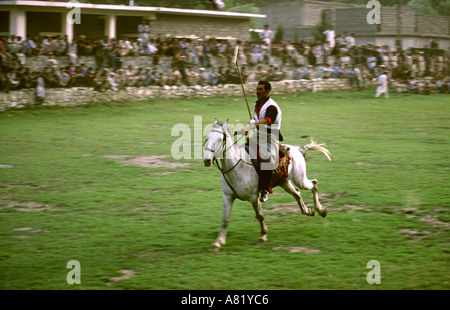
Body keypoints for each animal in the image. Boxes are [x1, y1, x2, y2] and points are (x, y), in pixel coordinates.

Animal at [204, 120, 330, 251]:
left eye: (220, 139)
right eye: (207, 138)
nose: (206, 160)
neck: (237, 166)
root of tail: (297, 149)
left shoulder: (253, 197)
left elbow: (259, 216)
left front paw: (263, 236)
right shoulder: (228, 196)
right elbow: (225, 220)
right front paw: (218, 242)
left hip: (300, 180)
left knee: (314, 184)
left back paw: (321, 210)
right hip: (284, 182)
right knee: (297, 193)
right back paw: (308, 211)